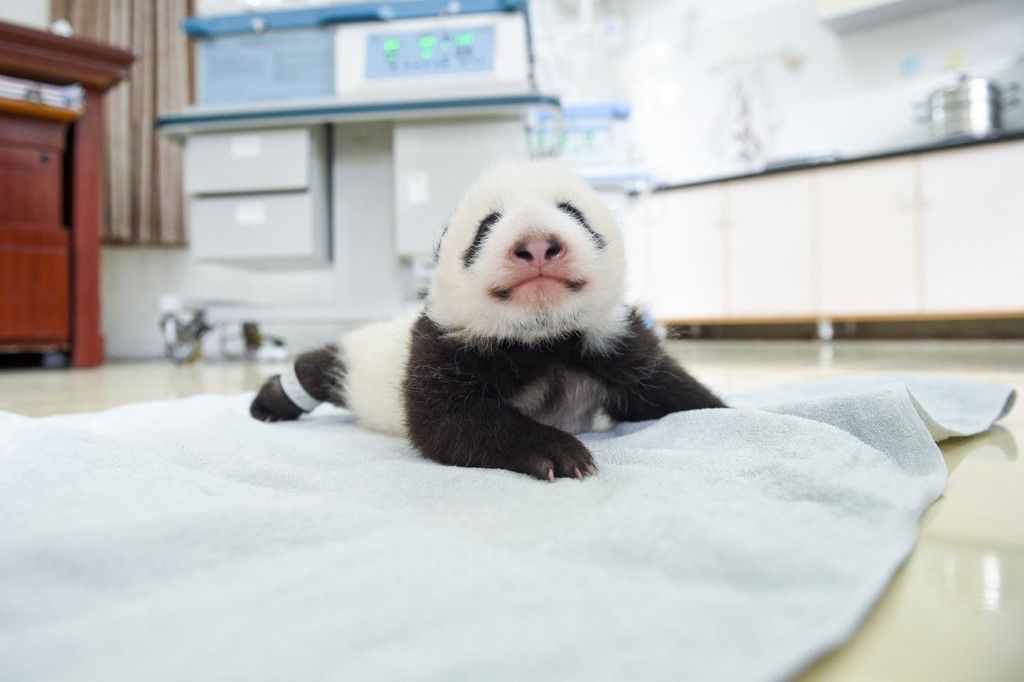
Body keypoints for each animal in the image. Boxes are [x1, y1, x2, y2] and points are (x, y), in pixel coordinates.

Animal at [250, 159, 725, 481]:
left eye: (572, 213)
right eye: (486, 226)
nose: (537, 244)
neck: (543, 337)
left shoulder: (610, 339)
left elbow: (667, 388)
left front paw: (726, 412)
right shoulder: (443, 344)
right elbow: (449, 420)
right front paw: (559, 452)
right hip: (359, 358)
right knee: (319, 366)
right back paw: (271, 401)